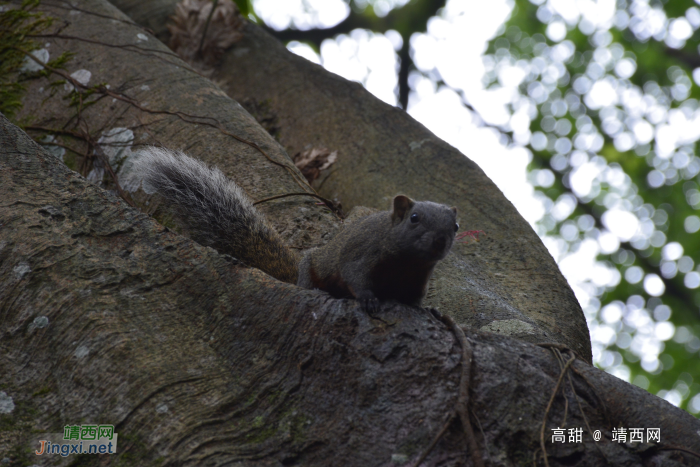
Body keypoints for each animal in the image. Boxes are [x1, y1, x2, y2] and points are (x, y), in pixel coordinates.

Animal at [135, 148, 460, 312]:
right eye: (414, 218)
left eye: (456, 226)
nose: (440, 241)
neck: (407, 263)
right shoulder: (363, 254)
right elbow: (355, 275)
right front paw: (368, 298)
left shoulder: (419, 279)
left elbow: (415, 298)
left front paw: (425, 309)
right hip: (311, 268)